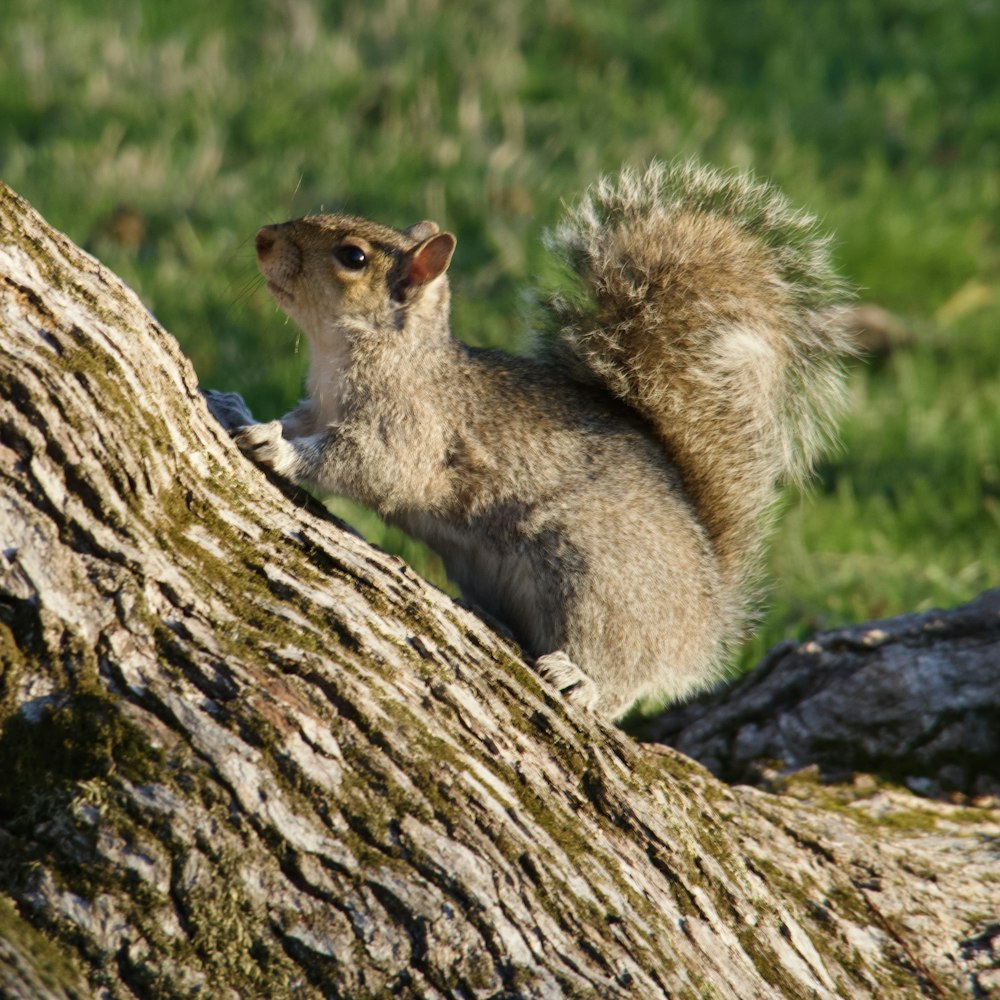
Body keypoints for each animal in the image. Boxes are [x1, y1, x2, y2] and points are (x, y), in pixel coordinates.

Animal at [207, 160, 856, 716]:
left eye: (352, 256)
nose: (263, 237)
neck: (349, 355)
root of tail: (710, 619)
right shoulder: (318, 406)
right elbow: (296, 421)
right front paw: (237, 409)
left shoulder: (410, 428)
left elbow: (368, 466)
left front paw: (277, 451)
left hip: (597, 583)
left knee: (623, 679)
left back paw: (581, 680)